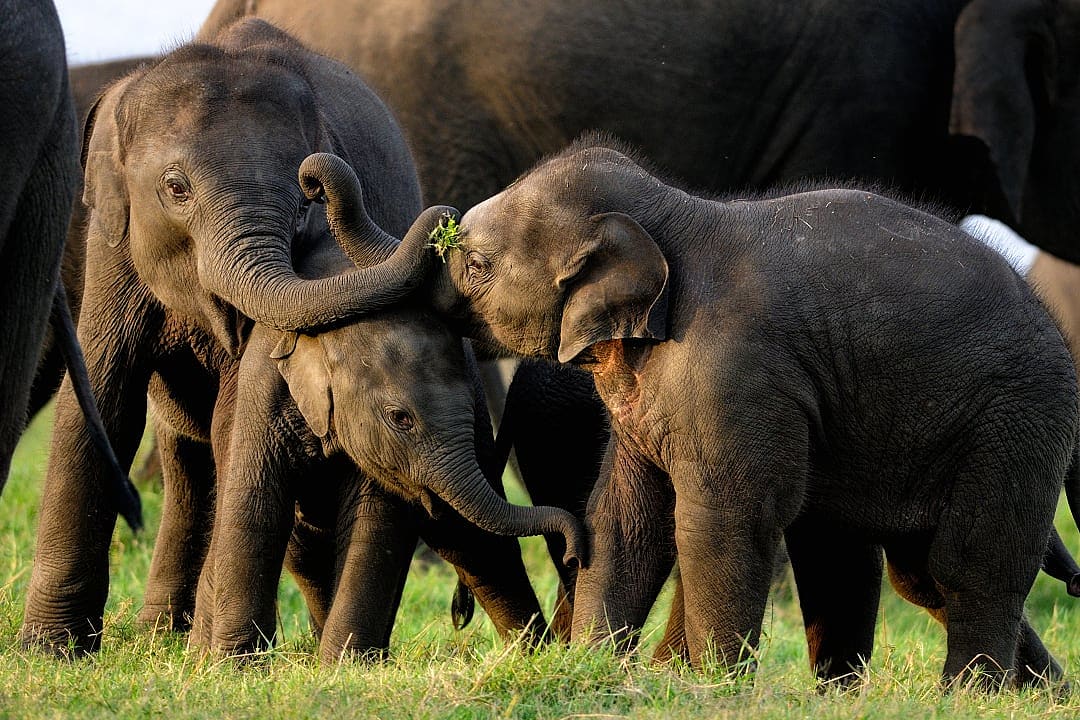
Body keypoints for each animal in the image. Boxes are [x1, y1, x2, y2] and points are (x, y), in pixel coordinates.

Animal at [17, 18, 563, 657]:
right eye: (175, 188)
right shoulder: (111, 243)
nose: (318, 177)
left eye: (302, 195)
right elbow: (103, 399)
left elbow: (233, 416)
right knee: (184, 456)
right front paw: (50, 650)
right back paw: (163, 636)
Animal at [332, 139, 1079, 687]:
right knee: (896, 563)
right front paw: (598, 673)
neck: (675, 212)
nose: (316, 181)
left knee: (970, 561)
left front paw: (708, 688)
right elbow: (627, 515)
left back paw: (969, 695)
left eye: (478, 264)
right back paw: (1025, 694)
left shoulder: (732, 369)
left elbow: (722, 516)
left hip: (1017, 418)